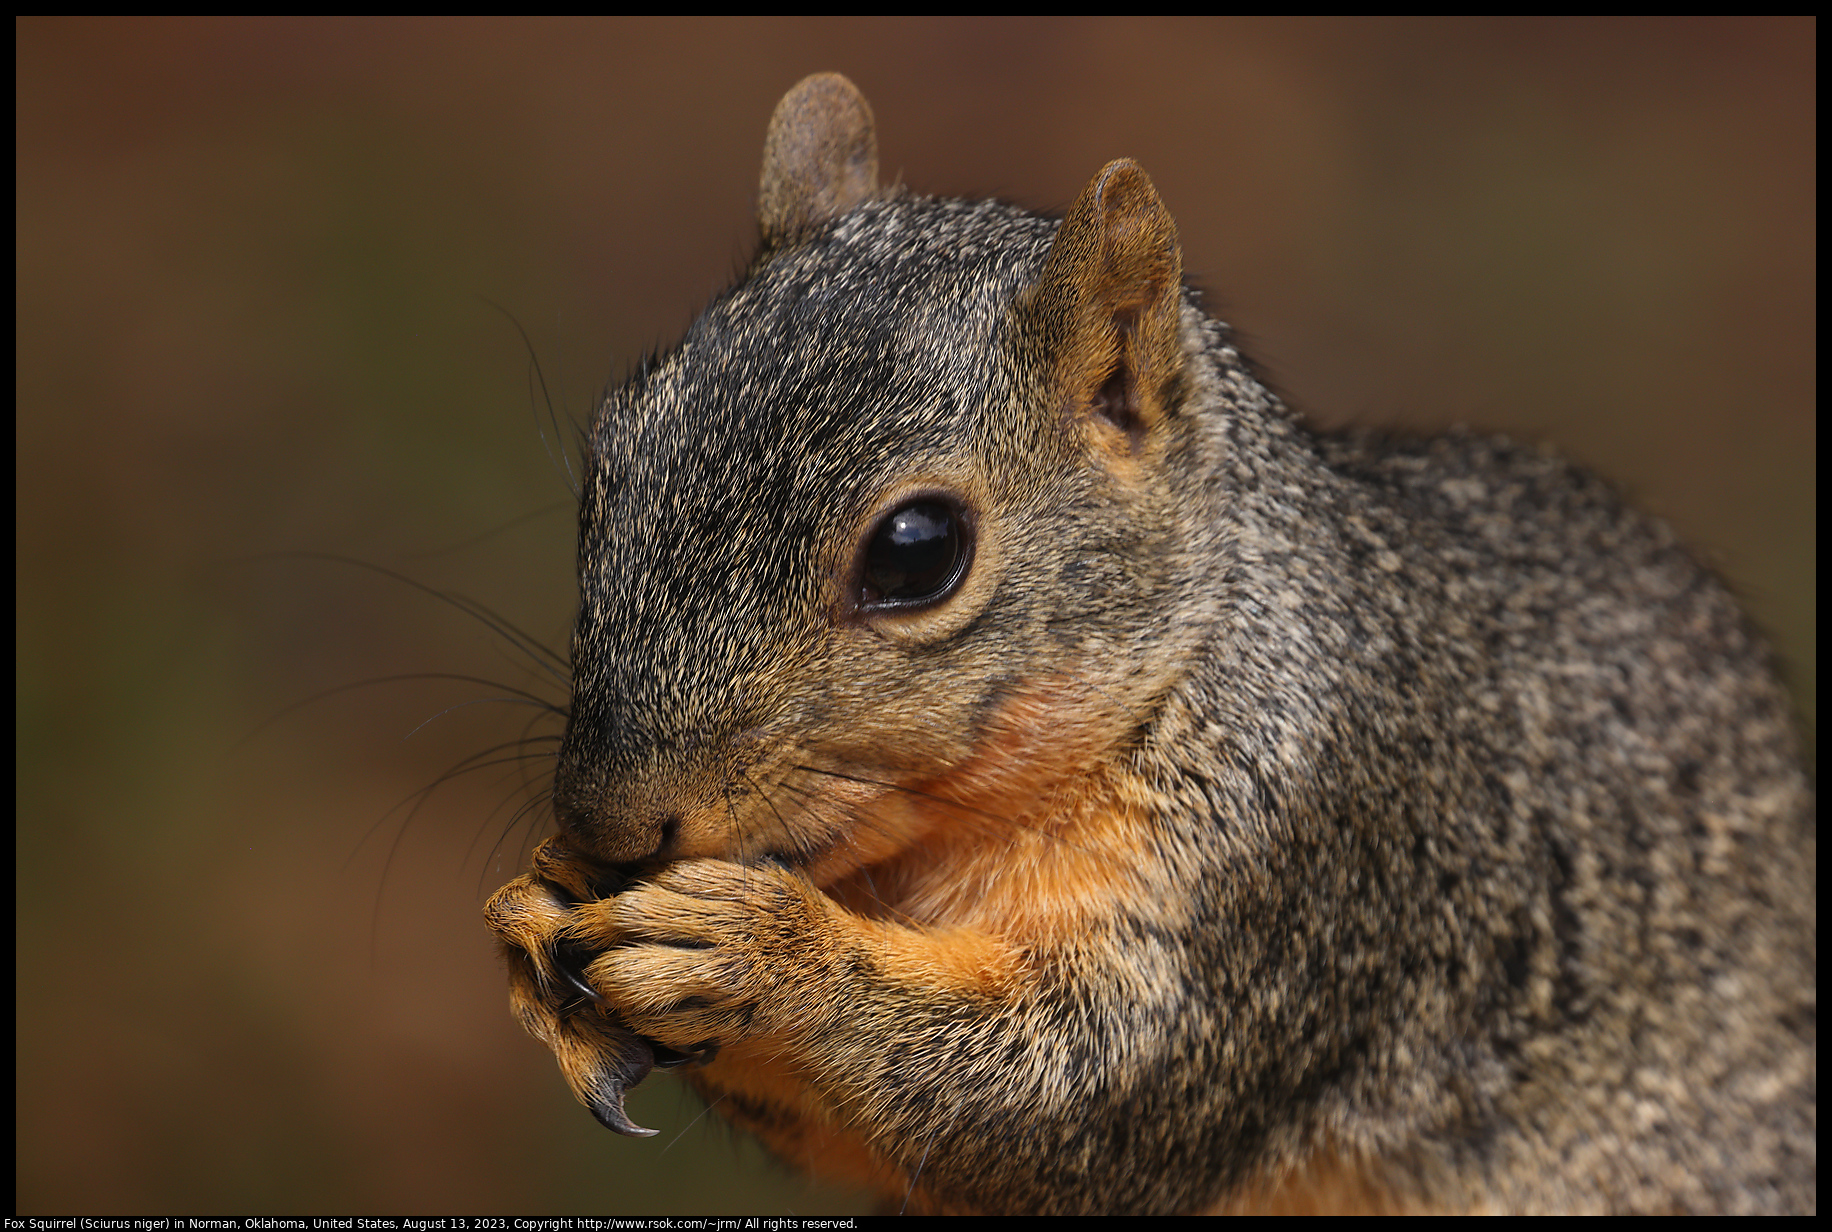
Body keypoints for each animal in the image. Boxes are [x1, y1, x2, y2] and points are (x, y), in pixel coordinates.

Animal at [479, 74, 1810, 1210]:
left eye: (915, 551)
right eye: (611, 455)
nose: (607, 822)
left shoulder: (1300, 868)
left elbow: (1074, 1100)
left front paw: (757, 946)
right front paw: (530, 914)